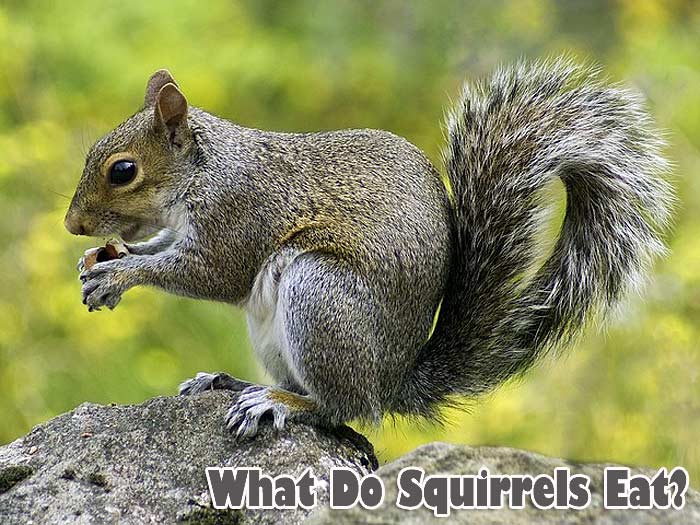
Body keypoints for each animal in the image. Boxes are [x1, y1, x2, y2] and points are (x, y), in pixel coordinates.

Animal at [65, 59, 673, 439]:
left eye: (123, 170)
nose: (72, 225)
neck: (206, 169)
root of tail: (391, 380)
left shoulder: (239, 216)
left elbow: (211, 273)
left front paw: (119, 275)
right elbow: (165, 246)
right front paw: (104, 260)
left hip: (320, 297)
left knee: (341, 409)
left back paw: (278, 403)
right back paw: (233, 383)